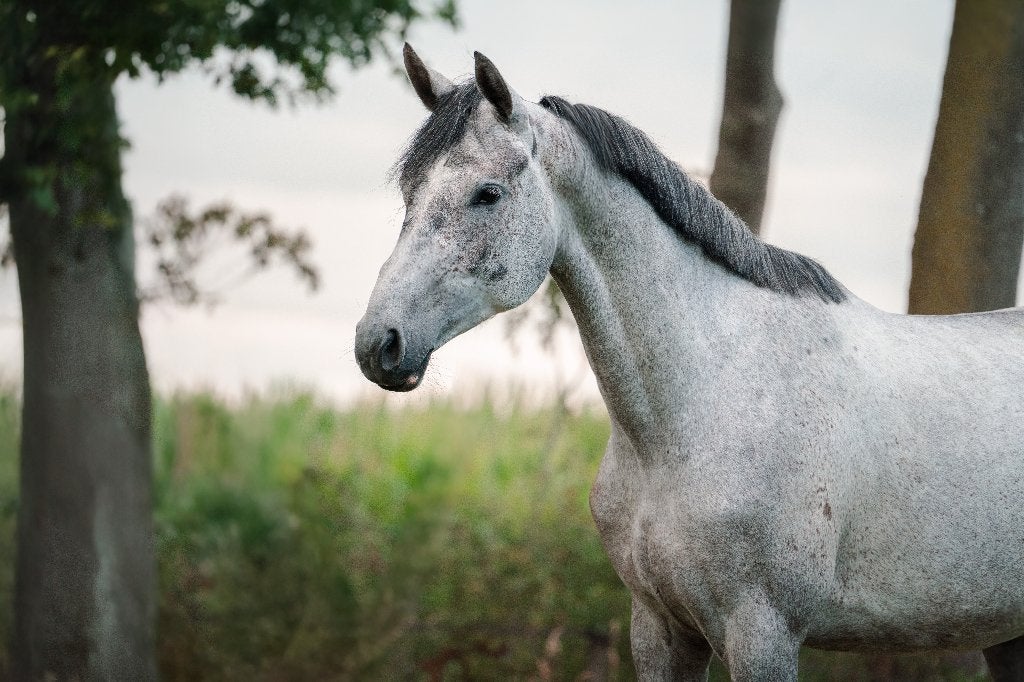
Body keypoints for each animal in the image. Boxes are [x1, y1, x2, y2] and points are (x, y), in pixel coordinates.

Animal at [354, 45, 1024, 681]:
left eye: (487, 194)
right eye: (410, 194)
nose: (377, 343)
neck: (695, 409)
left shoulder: (763, 635)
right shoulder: (659, 628)